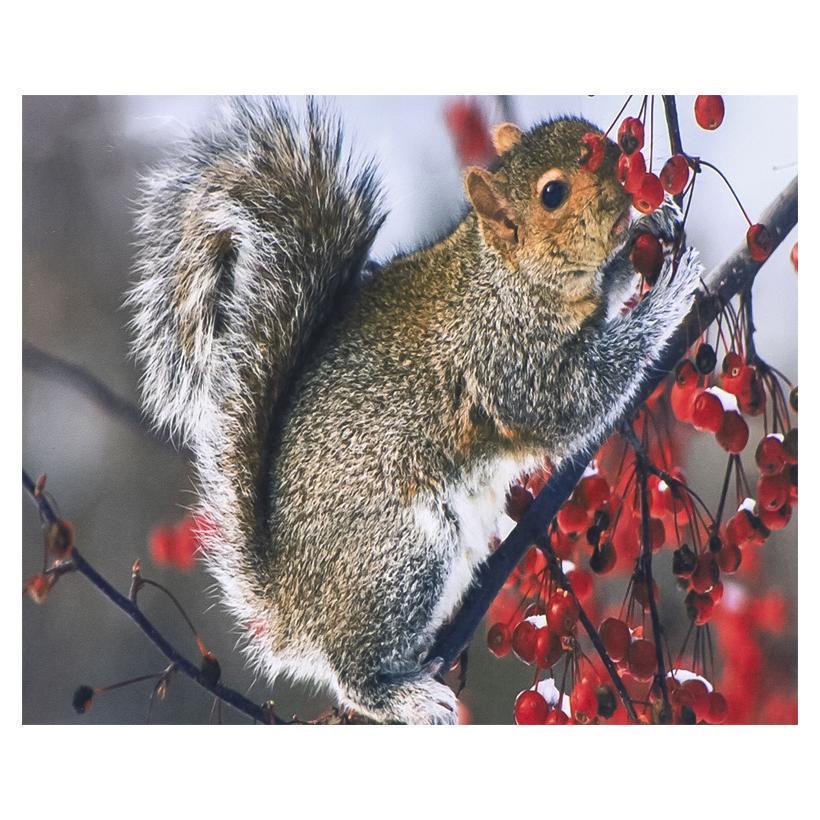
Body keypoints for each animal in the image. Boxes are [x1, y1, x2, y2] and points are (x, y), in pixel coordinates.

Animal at [129, 97, 702, 724]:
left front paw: (654, 225)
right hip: (402, 554)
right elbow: (577, 398)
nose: (629, 186)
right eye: (553, 193)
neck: (508, 275)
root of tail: (291, 605)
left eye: (607, 140)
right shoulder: (508, 359)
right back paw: (403, 694)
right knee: (352, 675)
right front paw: (670, 293)